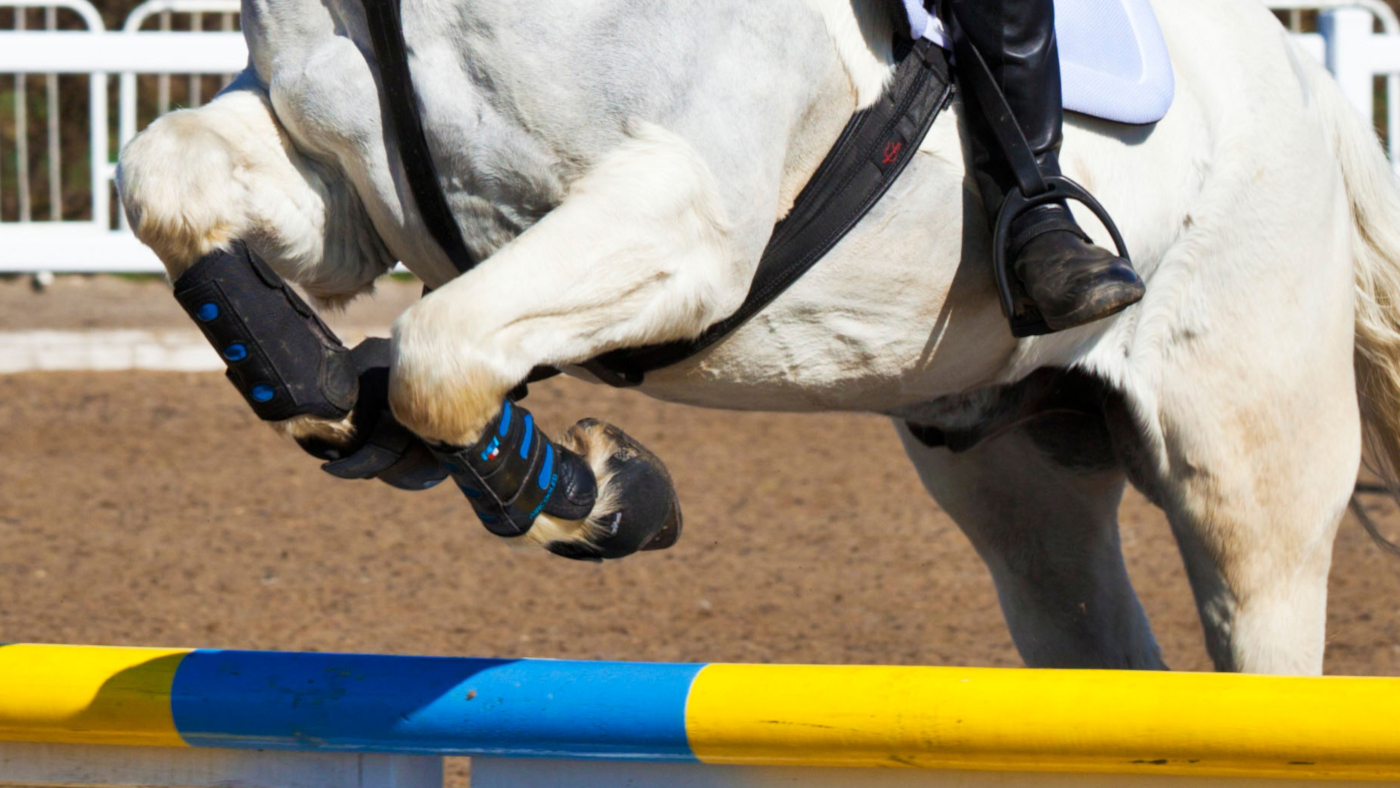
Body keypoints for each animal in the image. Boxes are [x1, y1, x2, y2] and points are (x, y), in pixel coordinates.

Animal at [115, 0, 1400, 675]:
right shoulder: (340, 188)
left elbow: (441, 353)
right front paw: (335, 393)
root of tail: (1302, 78)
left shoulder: (687, 215)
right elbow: (170, 175)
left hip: (1244, 467)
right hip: (1022, 479)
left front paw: (598, 492)